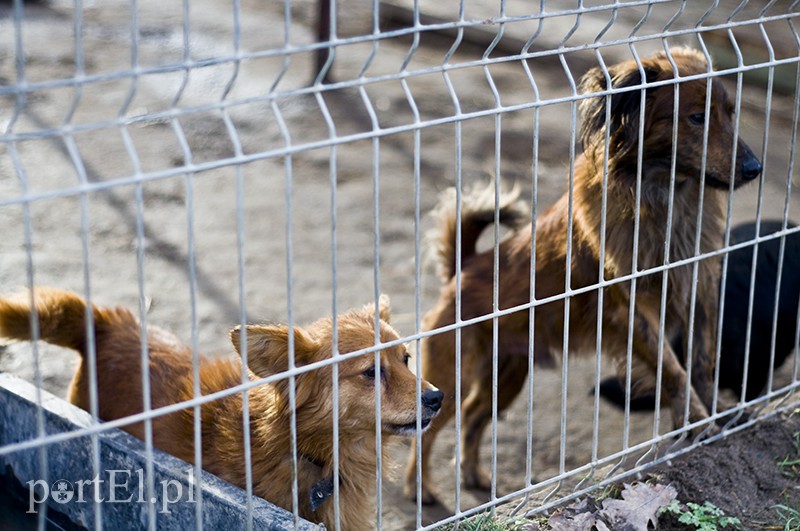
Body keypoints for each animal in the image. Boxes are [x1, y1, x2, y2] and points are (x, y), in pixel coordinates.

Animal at [406, 47, 764, 504]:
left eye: (731, 113)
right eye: (697, 117)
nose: (754, 168)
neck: (665, 195)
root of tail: (464, 268)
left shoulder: (699, 288)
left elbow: (701, 361)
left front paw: (714, 417)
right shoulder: (632, 311)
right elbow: (673, 369)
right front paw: (697, 421)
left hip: (507, 376)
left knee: (473, 416)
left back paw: (473, 476)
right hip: (453, 374)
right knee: (428, 432)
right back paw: (420, 488)